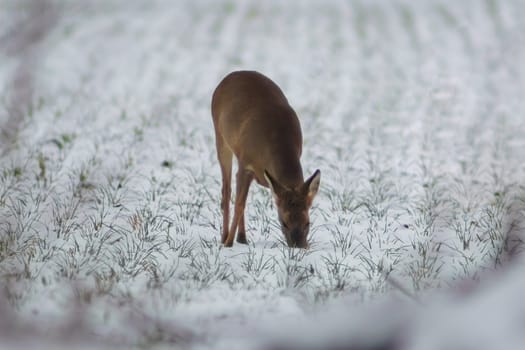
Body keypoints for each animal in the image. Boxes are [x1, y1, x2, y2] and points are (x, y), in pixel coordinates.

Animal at [210, 69, 320, 247]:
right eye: (284, 223)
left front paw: (238, 239)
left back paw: (242, 238)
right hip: (220, 138)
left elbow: (243, 202)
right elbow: (239, 204)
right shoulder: (245, 163)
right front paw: (228, 243)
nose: (299, 246)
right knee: (226, 191)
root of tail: (232, 75)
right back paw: (225, 237)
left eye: (308, 223)